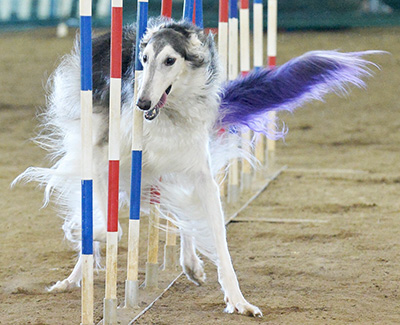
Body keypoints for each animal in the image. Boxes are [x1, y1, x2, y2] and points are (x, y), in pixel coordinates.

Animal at [14, 18, 378, 316]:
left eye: (170, 60)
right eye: (144, 61)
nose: (142, 103)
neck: (169, 114)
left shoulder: (199, 173)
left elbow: (217, 236)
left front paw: (238, 300)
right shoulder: (107, 159)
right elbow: (106, 225)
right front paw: (83, 235)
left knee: (178, 215)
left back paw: (190, 263)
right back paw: (73, 277)